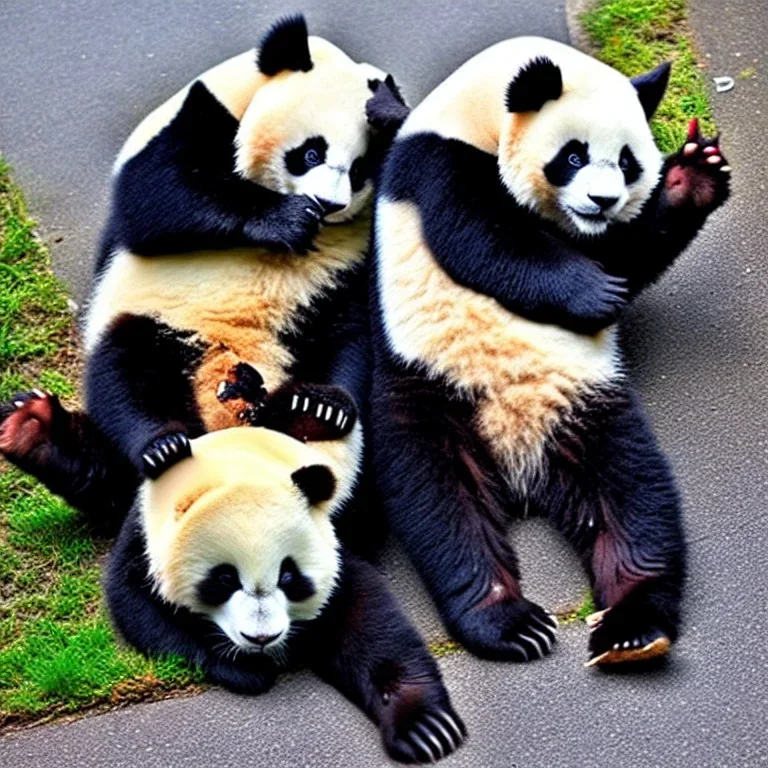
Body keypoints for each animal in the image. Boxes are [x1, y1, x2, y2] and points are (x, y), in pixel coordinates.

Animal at [0, 15, 462, 764]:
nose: (328, 205)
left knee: (344, 345)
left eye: (362, 169)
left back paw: (312, 407)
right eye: (310, 151)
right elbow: (162, 196)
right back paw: (81, 435)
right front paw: (280, 218)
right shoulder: (194, 117)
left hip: (323, 314)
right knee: (127, 377)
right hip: (153, 320)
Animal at [372, 37, 732, 664]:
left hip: (588, 407)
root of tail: (516, 461)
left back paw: (632, 626)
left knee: (633, 496)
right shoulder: (438, 163)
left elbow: (625, 256)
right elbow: (484, 238)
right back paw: (508, 622)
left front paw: (694, 177)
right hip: (426, 391)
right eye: (574, 155)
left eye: (628, 162)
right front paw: (594, 293)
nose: (602, 201)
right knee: (442, 508)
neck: (476, 110)